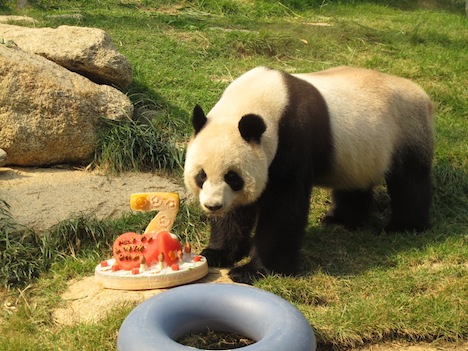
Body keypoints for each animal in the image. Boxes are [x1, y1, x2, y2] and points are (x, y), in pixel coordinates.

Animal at [184, 66, 436, 286]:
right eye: (201, 175)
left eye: (232, 177)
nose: (213, 206)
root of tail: (423, 95)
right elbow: (236, 212)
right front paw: (216, 253)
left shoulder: (293, 139)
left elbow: (284, 206)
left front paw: (254, 270)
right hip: (360, 151)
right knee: (355, 185)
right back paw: (341, 220)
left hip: (406, 129)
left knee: (410, 182)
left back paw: (404, 227)